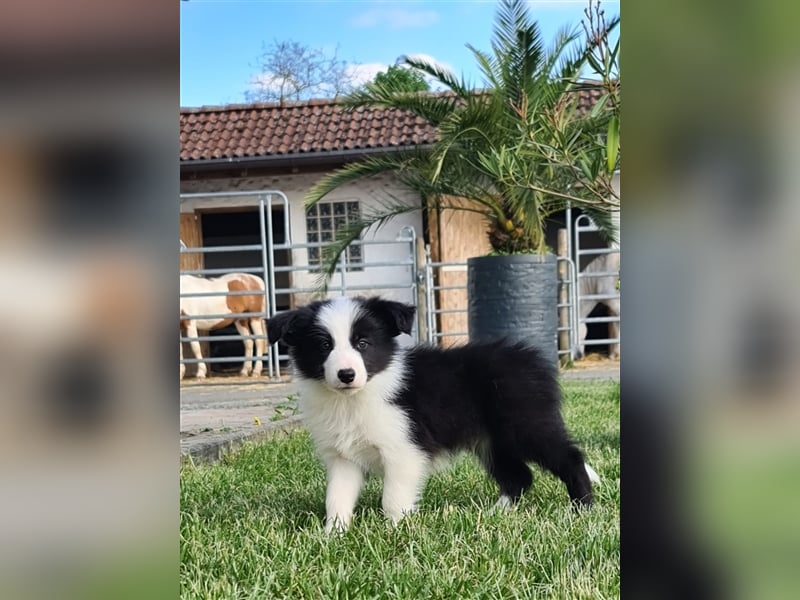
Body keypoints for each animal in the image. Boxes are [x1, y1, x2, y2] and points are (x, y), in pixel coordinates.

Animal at [266, 296, 596, 528]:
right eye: (324, 346)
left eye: (362, 343)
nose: (346, 374)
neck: (355, 399)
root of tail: (533, 361)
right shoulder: (343, 457)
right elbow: (336, 498)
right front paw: (333, 534)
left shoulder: (404, 449)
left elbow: (392, 498)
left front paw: (396, 530)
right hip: (493, 441)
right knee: (519, 477)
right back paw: (495, 514)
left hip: (526, 425)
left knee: (570, 458)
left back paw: (582, 509)